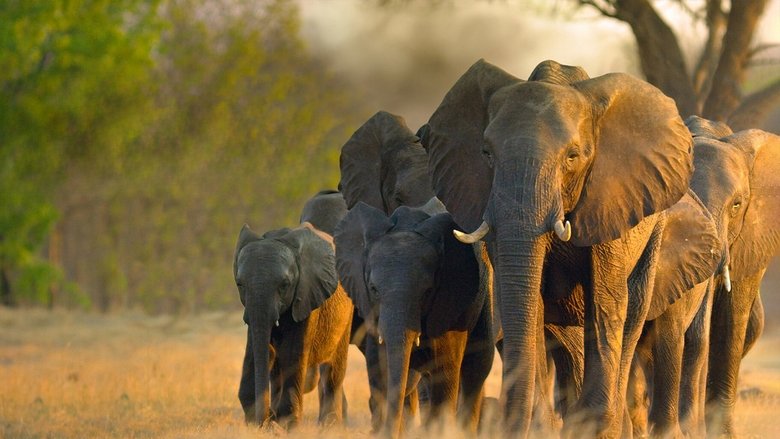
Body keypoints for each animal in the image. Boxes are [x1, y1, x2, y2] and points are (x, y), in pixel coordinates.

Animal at [233, 217, 353, 428]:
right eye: (240, 284)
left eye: (285, 285)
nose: (267, 419)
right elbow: (257, 350)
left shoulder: (307, 294)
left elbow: (293, 352)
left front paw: (286, 425)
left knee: (333, 370)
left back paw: (329, 426)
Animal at [334, 199, 495, 438]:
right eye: (373, 289)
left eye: (427, 292)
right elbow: (379, 369)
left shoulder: (449, 302)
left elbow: (444, 370)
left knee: (477, 366)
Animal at [421, 59, 694, 437]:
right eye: (486, 154)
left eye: (572, 157)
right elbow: (526, 300)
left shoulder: (610, 199)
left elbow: (605, 301)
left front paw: (594, 426)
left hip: (655, 232)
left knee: (632, 312)